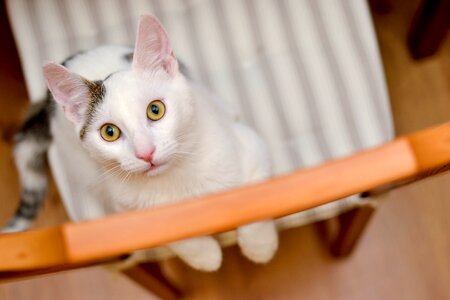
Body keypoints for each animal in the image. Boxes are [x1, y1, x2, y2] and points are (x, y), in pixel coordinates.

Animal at [5, 14, 276, 272]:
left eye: (155, 110)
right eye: (109, 132)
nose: (145, 153)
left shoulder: (252, 146)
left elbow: (258, 193)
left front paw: (260, 246)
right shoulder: (131, 214)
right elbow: (167, 234)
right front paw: (205, 256)